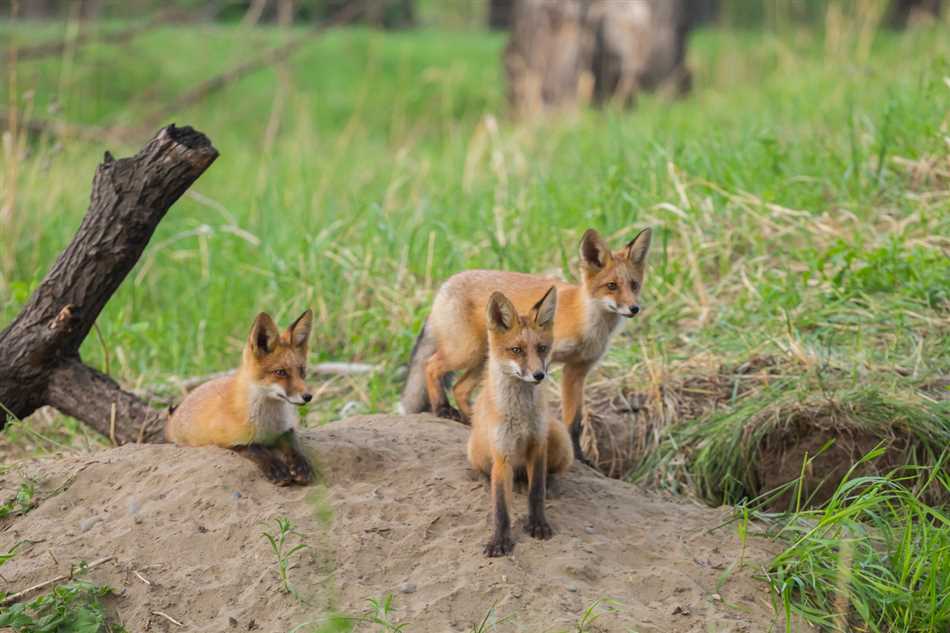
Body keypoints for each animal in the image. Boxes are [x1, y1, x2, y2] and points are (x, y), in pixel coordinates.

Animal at [167, 310, 316, 484]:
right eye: (280, 372)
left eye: (302, 371)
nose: (308, 396)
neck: (267, 424)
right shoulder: (225, 439)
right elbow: (254, 448)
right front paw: (277, 468)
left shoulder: (286, 429)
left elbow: (294, 445)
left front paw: (301, 466)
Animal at [402, 225, 656, 462]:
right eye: (612, 286)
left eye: (634, 285)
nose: (634, 308)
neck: (586, 323)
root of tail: (446, 284)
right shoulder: (540, 362)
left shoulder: (577, 369)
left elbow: (574, 422)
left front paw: (579, 456)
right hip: (466, 352)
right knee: (431, 366)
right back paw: (442, 409)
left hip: (485, 358)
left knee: (460, 388)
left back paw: (471, 420)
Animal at [468, 288, 572, 556]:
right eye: (516, 350)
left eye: (542, 348)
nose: (539, 375)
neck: (521, 415)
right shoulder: (502, 454)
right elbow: (501, 508)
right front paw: (500, 540)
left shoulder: (538, 444)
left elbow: (536, 492)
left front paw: (538, 524)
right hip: (475, 450)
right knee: (487, 474)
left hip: (558, 436)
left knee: (549, 474)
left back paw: (550, 483)